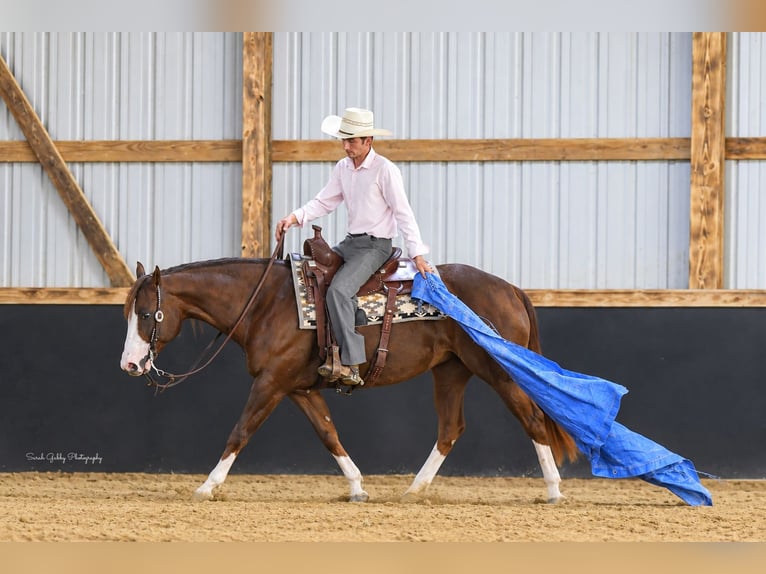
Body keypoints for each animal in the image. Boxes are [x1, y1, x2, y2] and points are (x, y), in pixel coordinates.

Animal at [120, 254, 579, 503]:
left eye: (146, 314)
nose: (130, 365)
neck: (267, 303)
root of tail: (510, 289)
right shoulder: (298, 387)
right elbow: (329, 434)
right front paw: (358, 486)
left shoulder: (270, 383)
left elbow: (240, 431)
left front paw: (207, 486)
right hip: (451, 371)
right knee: (451, 429)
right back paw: (414, 490)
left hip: (499, 372)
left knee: (533, 420)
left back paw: (554, 490)